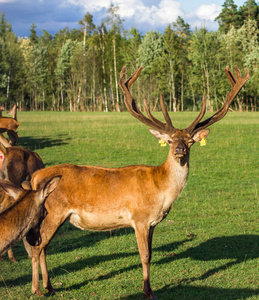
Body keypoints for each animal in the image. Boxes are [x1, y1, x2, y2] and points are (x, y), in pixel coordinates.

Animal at [26, 65, 250, 298]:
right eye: (170, 140)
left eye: (190, 141)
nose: (180, 149)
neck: (161, 191)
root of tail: (35, 177)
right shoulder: (139, 218)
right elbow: (144, 256)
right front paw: (148, 291)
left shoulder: (152, 223)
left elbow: (150, 253)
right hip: (54, 212)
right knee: (36, 247)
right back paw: (36, 289)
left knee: (43, 246)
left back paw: (49, 286)